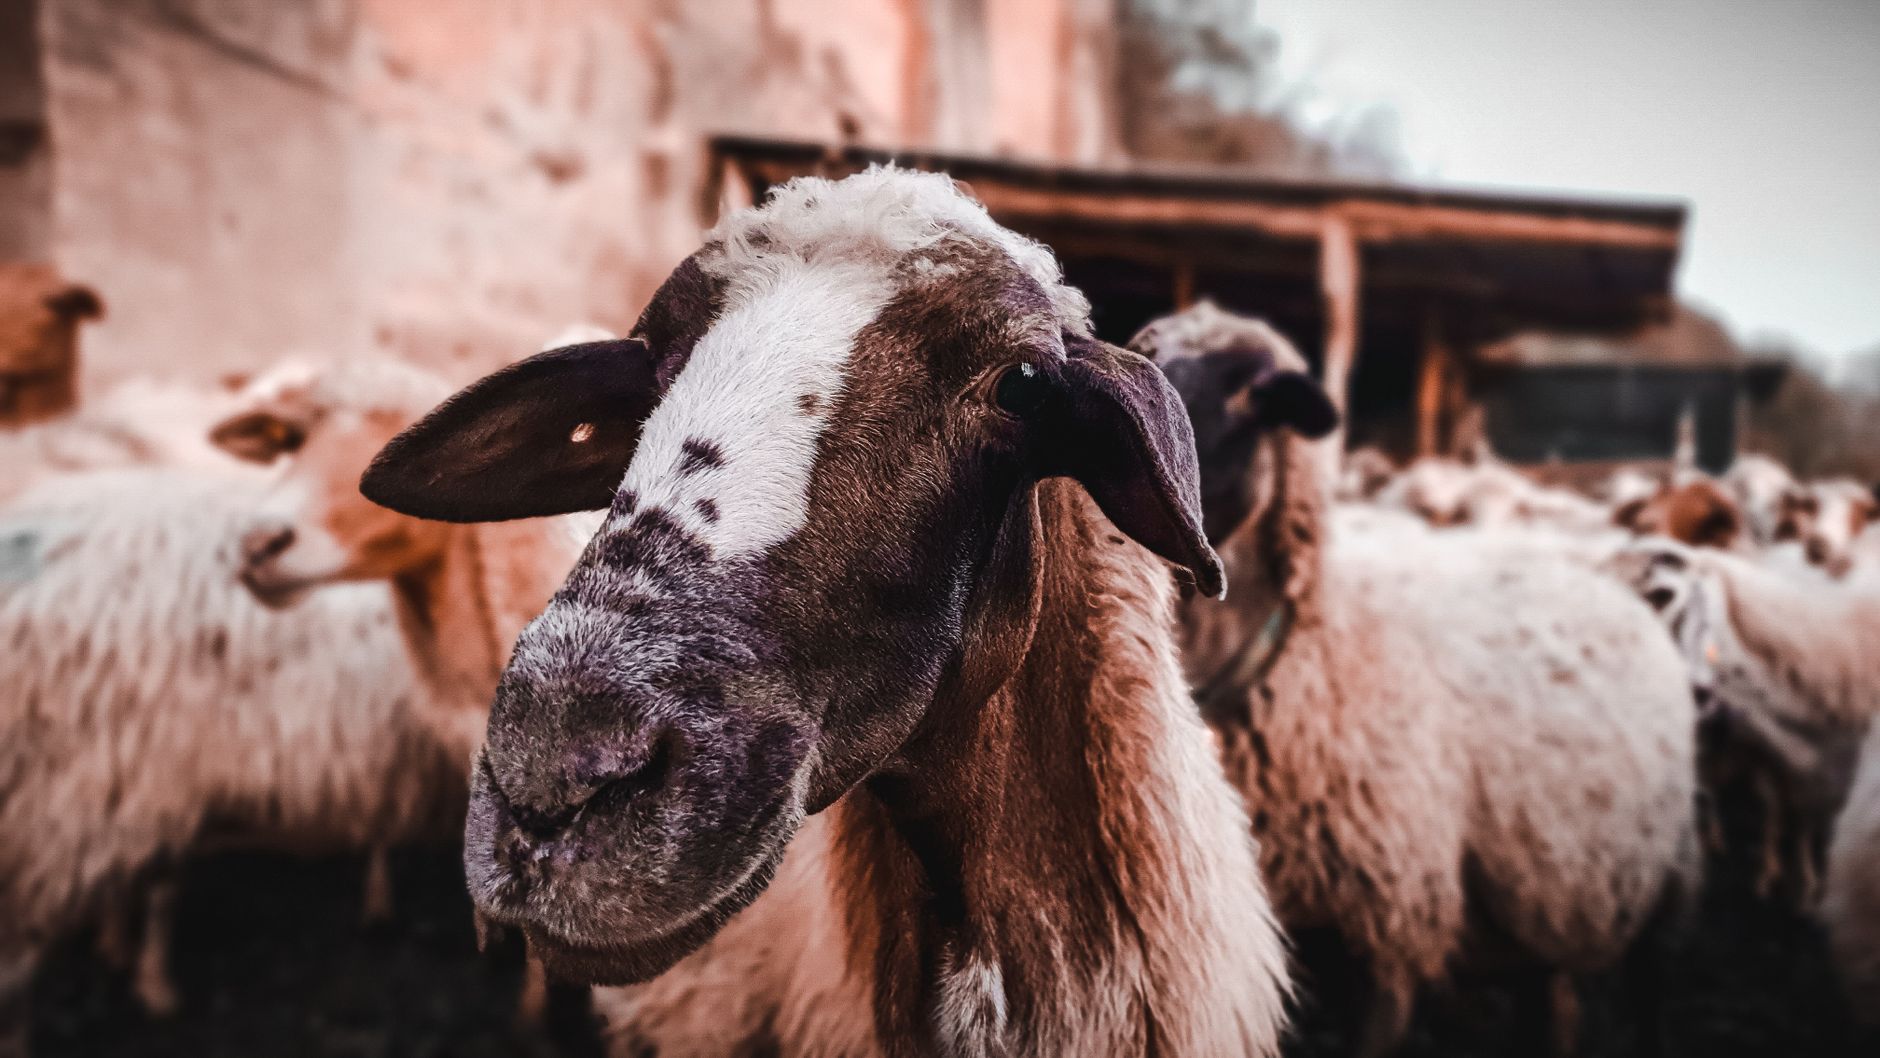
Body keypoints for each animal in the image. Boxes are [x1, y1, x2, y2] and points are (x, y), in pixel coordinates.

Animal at [1135, 303, 1700, 1057]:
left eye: (1250, 395)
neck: (1313, 664)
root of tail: (1614, 582)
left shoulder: (1391, 931)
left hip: (1669, 885)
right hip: (1544, 896)